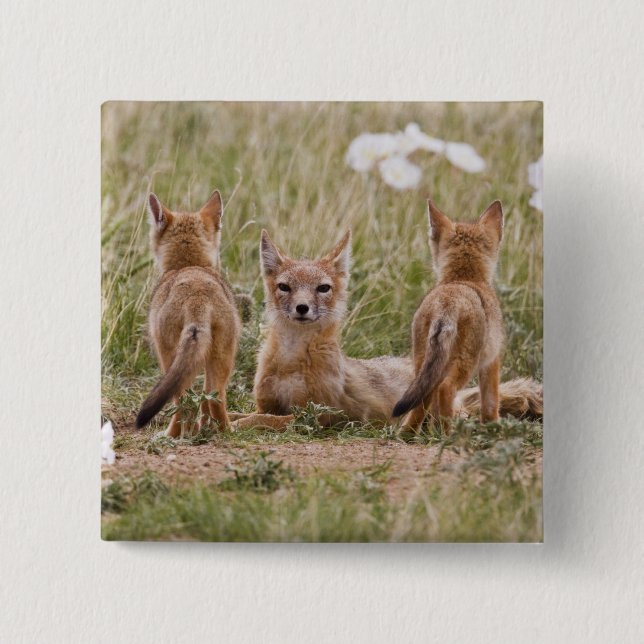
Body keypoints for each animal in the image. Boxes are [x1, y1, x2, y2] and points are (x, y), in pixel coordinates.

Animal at [135, 190, 241, 437]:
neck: (189, 265)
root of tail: (197, 296)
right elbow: (203, 401)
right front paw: (202, 429)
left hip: (169, 358)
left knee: (182, 401)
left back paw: (171, 436)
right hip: (222, 357)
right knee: (214, 398)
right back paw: (225, 432)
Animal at [231, 227, 541, 431]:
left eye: (323, 288)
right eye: (285, 287)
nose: (302, 308)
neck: (290, 361)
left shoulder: (315, 414)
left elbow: (260, 420)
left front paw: (236, 426)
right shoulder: (267, 404)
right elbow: (241, 413)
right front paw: (222, 421)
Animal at [392, 199, 506, 431]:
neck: (463, 279)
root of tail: (447, 302)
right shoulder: (492, 361)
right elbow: (491, 402)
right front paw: (494, 427)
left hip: (422, 364)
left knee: (423, 399)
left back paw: (409, 433)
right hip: (465, 364)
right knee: (446, 389)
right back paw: (448, 432)